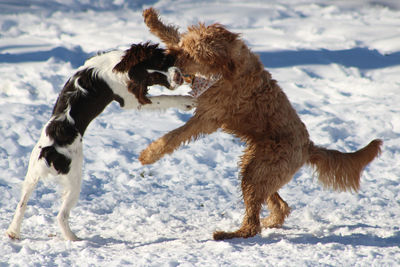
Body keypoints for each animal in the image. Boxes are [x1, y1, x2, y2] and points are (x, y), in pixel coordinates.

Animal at [5, 43, 194, 242]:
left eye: (160, 63)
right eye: (153, 76)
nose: (178, 77)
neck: (120, 64)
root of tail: (49, 152)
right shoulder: (129, 98)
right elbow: (162, 98)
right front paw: (186, 101)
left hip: (31, 175)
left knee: (22, 204)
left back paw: (13, 232)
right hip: (74, 180)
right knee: (61, 215)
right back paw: (74, 238)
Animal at [140, 8, 382, 242]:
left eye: (195, 53)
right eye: (186, 46)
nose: (168, 58)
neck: (230, 66)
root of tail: (308, 147)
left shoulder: (207, 117)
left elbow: (173, 136)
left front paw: (148, 155)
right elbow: (172, 35)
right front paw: (152, 20)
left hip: (259, 171)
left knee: (252, 225)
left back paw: (229, 234)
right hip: (258, 169)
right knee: (279, 206)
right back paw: (269, 221)